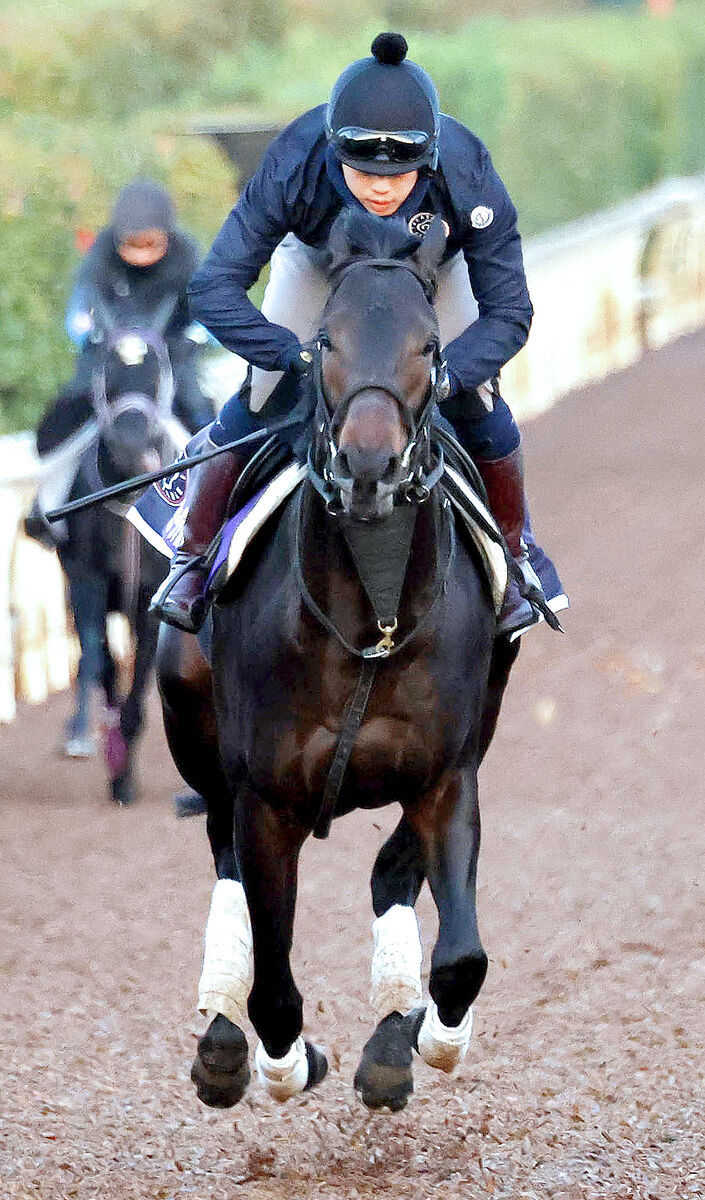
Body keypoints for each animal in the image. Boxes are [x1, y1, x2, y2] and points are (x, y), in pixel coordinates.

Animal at [158, 208, 517, 1113]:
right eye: (324, 343)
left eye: (429, 346)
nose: (367, 465)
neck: (371, 621)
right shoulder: (265, 798)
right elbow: (274, 987)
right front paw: (280, 1062)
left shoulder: (446, 774)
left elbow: (461, 957)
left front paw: (424, 1041)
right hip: (194, 731)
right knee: (223, 861)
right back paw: (225, 1046)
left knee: (390, 875)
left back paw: (391, 1037)